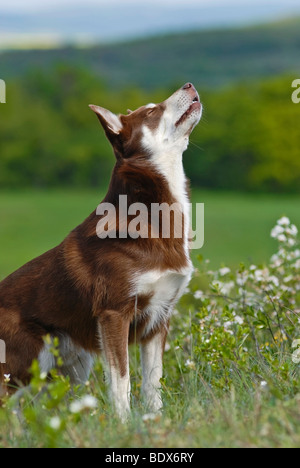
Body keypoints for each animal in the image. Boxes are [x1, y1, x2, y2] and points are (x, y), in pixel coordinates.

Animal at [0, 82, 203, 418]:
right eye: (152, 111)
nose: (189, 84)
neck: (155, 216)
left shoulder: (159, 318)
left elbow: (153, 383)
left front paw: (154, 420)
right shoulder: (114, 314)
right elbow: (122, 381)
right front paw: (124, 423)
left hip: (72, 367)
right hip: (27, 362)